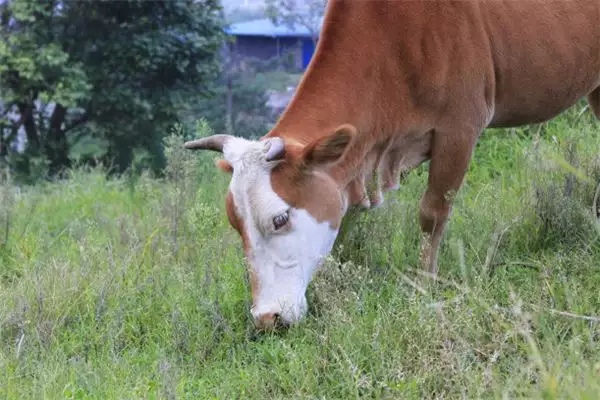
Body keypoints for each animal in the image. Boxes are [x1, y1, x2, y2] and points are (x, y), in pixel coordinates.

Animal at [184, 0, 600, 332]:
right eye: (236, 224)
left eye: (280, 218)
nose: (266, 318)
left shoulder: (459, 128)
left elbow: (432, 215)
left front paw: (425, 285)